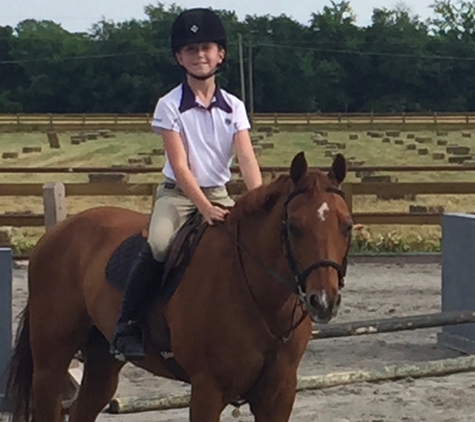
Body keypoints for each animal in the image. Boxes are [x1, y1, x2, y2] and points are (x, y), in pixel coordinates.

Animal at [4, 151, 354, 418]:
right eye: (293, 226)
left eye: (347, 226)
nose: (323, 301)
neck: (261, 302)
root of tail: (56, 233)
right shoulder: (207, 390)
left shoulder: (279, 395)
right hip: (51, 363)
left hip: (102, 361)